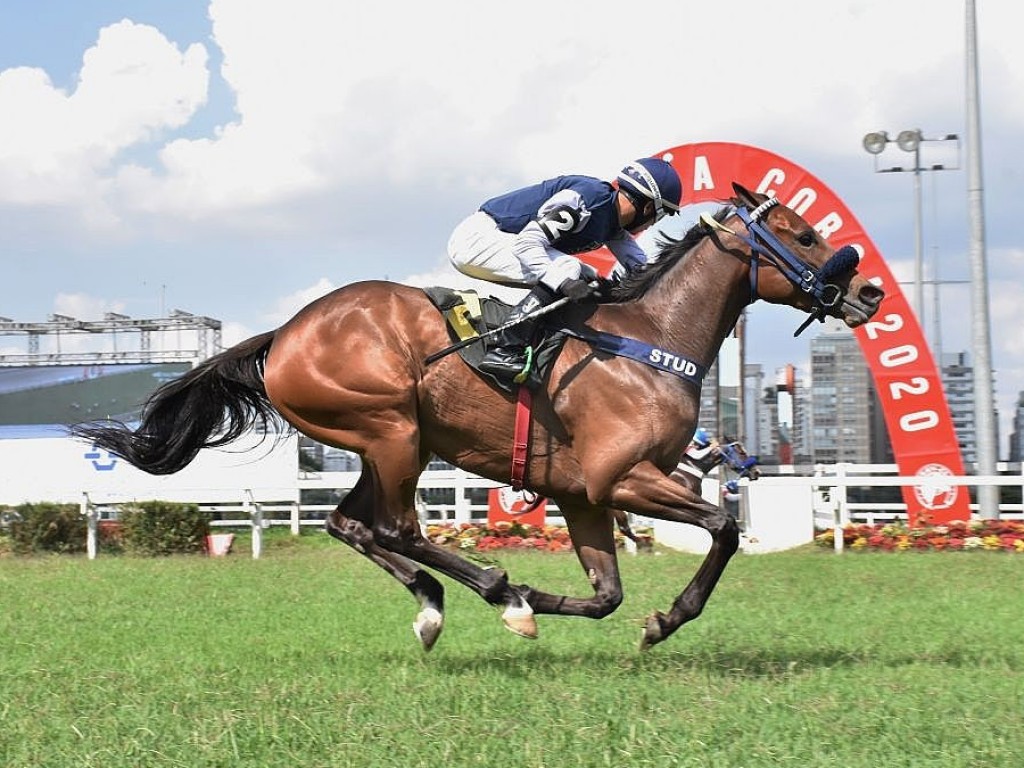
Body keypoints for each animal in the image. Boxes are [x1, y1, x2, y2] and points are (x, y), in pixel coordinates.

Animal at [74, 183, 888, 651]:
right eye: (804, 235)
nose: (870, 292)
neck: (649, 338)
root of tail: (282, 336)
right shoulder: (622, 477)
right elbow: (721, 528)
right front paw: (659, 620)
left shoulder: (582, 494)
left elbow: (606, 595)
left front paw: (558, 604)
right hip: (392, 429)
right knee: (395, 527)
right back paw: (496, 593)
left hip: (384, 442)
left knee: (349, 523)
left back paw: (438, 605)